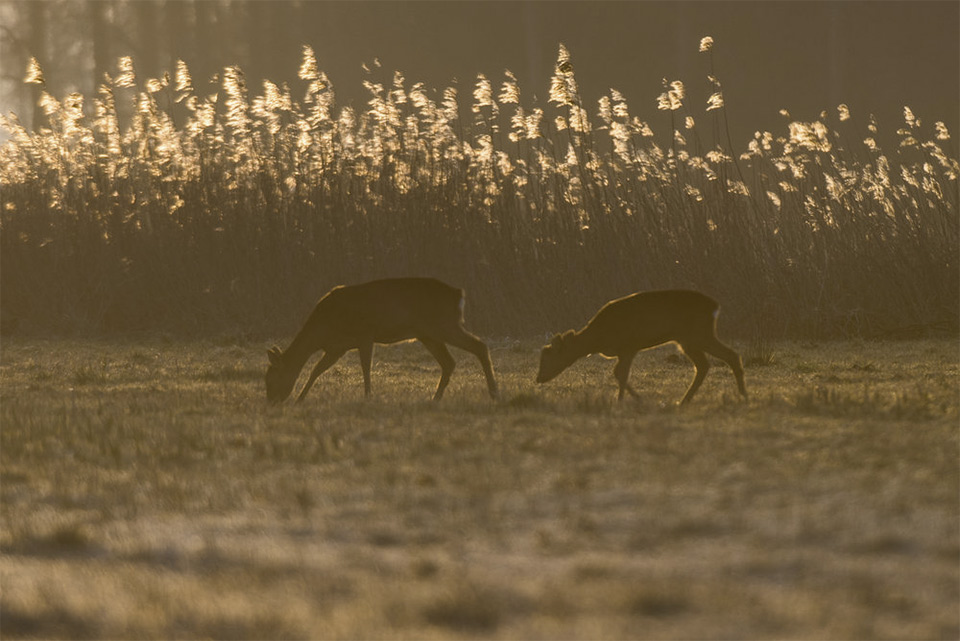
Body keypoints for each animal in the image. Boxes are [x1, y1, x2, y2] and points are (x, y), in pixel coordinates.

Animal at [266, 278, 498, 402]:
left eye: (271, 376)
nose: (270, 401)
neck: (323, 328)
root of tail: (459, 294)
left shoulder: (365, 334)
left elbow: (365, 367)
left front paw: (368, 396)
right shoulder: (336, 347)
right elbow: (316, 370)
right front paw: (300, 398)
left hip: (444, 325)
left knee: (479, 346)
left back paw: (494, 392)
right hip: (428, 334)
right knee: (449, 362)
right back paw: (435, 398)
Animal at [536, 288, 748, 402]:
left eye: (548, 356)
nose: (538, 378)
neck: (598, 338)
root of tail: (715, 306)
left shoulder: (629, 346)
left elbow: (621, 374)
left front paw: (623, 400)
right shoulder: (624, 351)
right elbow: (618, 373)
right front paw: (630, 399)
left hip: (697, 335)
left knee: (729, 356)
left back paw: (743, 396)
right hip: (689, 339)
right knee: (705, 364)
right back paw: (684, 401)